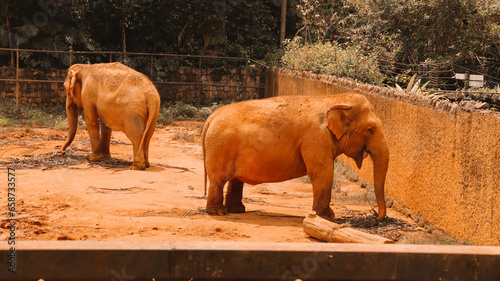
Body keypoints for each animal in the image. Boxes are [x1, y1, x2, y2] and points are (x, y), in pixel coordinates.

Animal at [203, 94, 390, 221]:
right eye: (370, 129)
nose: (376, 217)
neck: (335, 99)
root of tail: (211, 116)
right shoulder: (315, 138)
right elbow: (323, 172)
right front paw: (325, 218)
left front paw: (328, 216)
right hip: (221, 147)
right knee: (218, 179)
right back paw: (218, 212)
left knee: (235, 180)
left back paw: (237, 210)